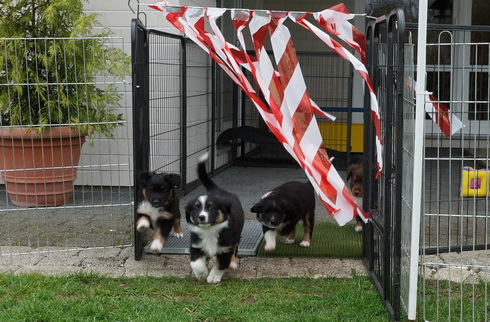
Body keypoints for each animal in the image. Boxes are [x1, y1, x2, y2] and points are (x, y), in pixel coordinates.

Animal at [185, 152, 244, 284]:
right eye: (195, 208)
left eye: (211, 208)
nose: (202, 217)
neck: (209, 231)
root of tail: (220, 191)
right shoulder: (196, 245)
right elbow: (196, 264)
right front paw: (202, 274)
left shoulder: (225, 248)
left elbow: (220, 264)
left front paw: (213, 277)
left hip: (236, 235)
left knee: (235, 248)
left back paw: (232, 263)